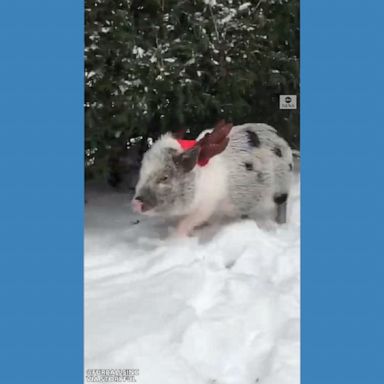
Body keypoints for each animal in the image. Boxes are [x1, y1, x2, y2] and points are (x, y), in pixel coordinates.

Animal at [130, 121, 292, 236]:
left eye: (164, 177)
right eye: (142, 171)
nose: (136, 203)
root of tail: (279, 136)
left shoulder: (207, 205)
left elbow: (186, 223)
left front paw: (172, 241)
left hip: (282, 186)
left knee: (282, 204)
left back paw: (280, 224)